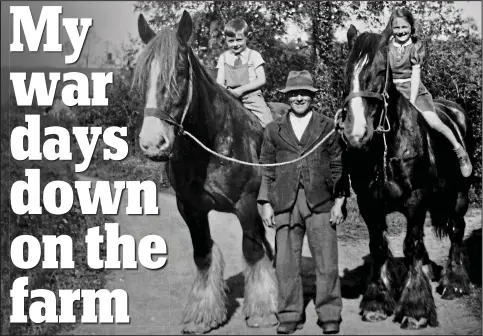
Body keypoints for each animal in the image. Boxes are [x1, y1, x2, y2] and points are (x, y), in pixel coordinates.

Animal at [132, 10, 290, 334]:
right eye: (142, 76)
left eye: (180, 72)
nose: (153, 144)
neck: (212, 144)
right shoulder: (190, 208)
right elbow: (203, 255)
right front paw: (202, 315)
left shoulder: (246, 205)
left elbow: (252, 251)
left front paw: (262, 312)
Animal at [338, 25, 474, 328]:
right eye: (347, 71)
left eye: (380, 71)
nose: (354, 134)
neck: (388, 147)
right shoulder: (369, 204)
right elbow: (379, 246)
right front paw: (377, 302)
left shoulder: (416, 201)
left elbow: (410, 245)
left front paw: (415, 309)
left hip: (460, 193)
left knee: (456, 230)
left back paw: (455, 282)